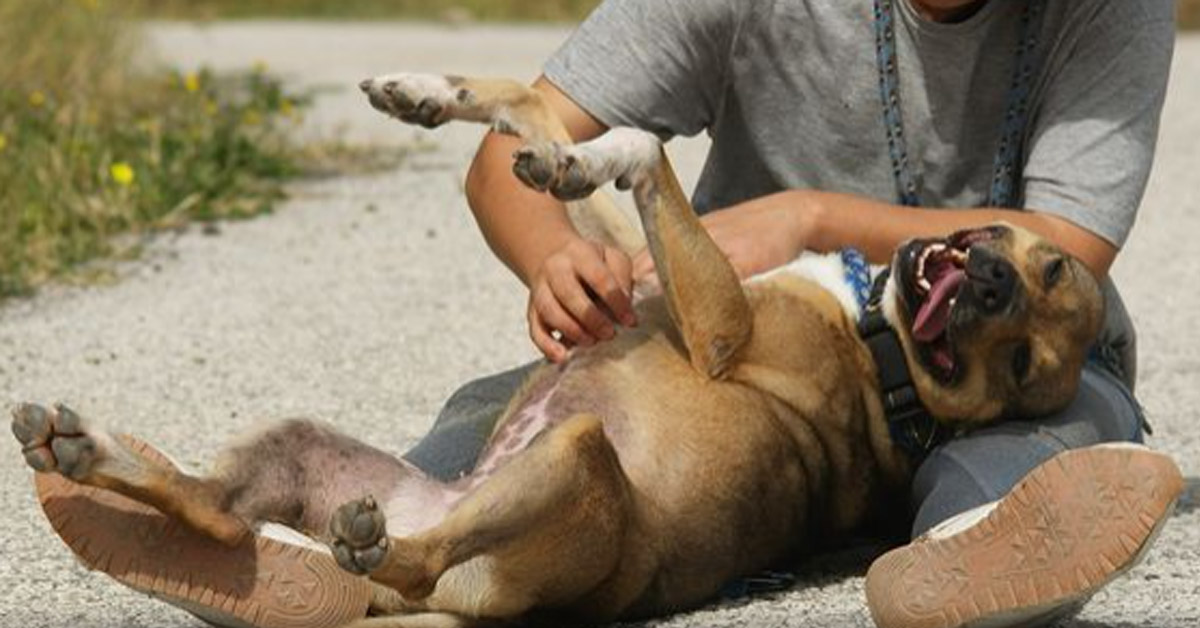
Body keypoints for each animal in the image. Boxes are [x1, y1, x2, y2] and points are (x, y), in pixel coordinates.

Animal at [14, 75, 1104, 628]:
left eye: (1020, 368)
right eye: (1047, 262)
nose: (994, 287)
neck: (882, 350)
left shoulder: (716, 328)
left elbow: (642, 146)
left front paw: (579, 154)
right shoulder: (634, 274)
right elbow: (542, 118)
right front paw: (433, 95)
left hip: (574, 458)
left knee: (411, 568)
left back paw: (372, 548)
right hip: (300, 437)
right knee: (212, 508)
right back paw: (78, 450)